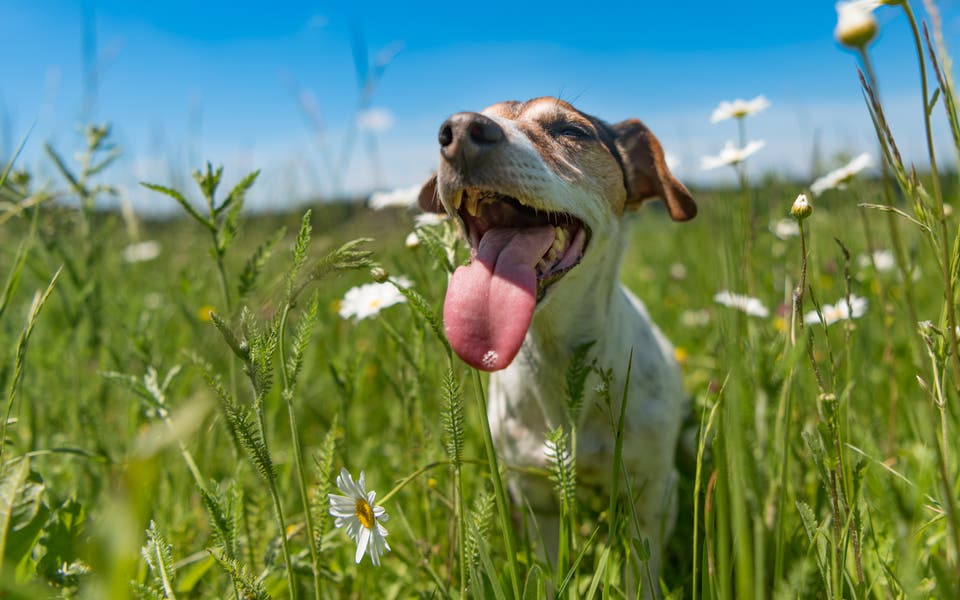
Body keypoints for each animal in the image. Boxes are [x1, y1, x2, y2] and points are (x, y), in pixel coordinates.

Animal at [416, 96, 692, 592]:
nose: (460, 131)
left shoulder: (651, 493)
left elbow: (642, 571)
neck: (558, 359)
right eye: (449, 129)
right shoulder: (535, 497)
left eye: (571, 130)